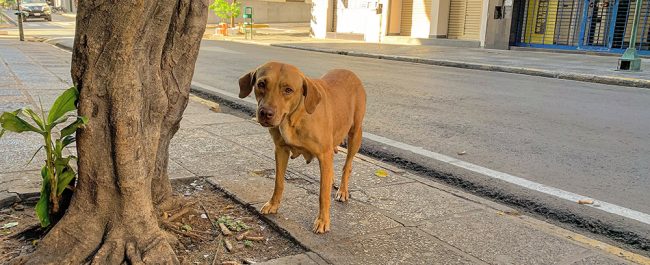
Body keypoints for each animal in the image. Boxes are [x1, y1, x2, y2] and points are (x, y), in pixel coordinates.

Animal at [239, 60, 364, 232]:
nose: (265, 113)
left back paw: (343, 190)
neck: (294, 118)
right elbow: (279, 182)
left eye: (288, 90)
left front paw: (323, 220)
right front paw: (273, 204)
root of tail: (349, 72)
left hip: (355, 135)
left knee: (347, 165)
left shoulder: (324, 155)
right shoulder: (281, 150)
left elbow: (323, 193)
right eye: (261, 84)